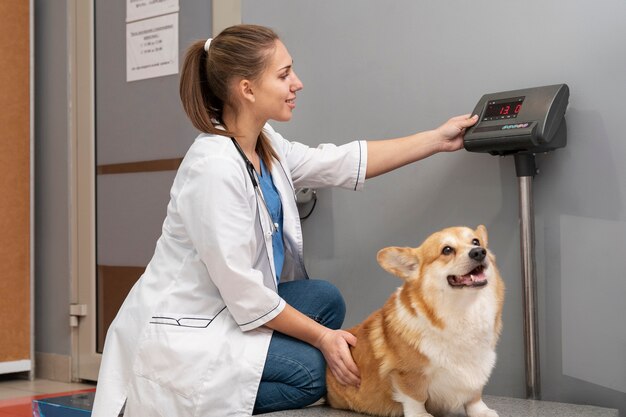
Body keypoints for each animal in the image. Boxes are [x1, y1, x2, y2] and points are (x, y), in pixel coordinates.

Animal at [324, 226, 504, 414]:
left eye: (476, 241)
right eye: (447, 250)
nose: (479, 252)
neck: (464, 309)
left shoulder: (477, 367)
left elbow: (474, 395)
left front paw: (482, 411)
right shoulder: (408, 373)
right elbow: (415, 396)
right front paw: (420, 414)